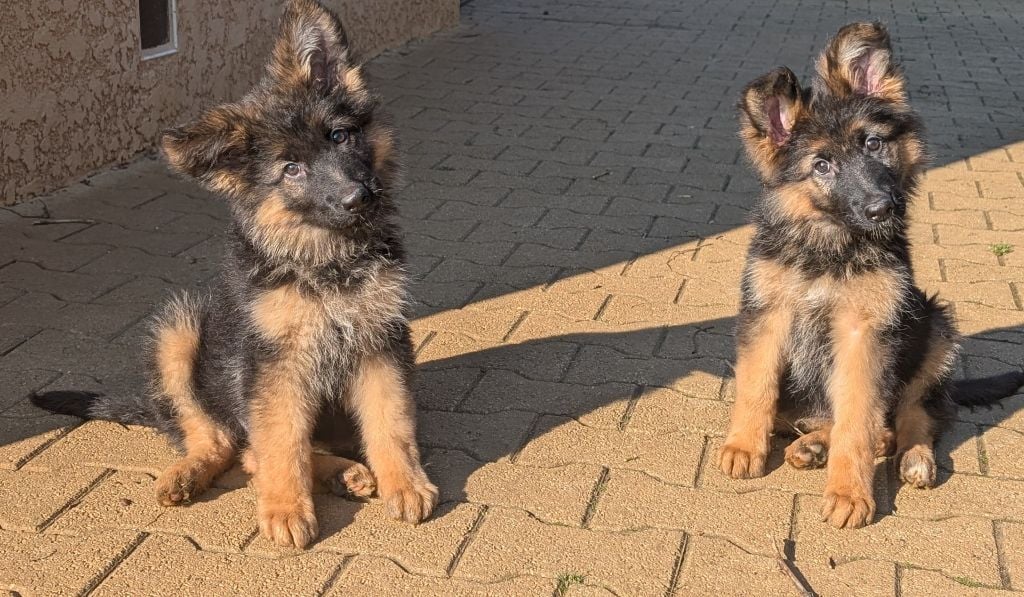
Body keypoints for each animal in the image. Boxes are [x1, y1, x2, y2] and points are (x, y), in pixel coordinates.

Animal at [29, 0, 438, 552]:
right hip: (178, 332)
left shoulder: (381, 341)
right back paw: (192, 472)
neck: (325, 258)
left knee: (255, 448)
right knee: (228, 442)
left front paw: (406, 484)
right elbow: (281, 441)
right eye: (291, 169)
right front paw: (285, 508)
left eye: (340, 136)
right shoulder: (273, 363)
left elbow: (390, 421)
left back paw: (344, 471)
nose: (360, 198)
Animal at [720, 22, 1024, 528]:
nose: (883, 209)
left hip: (933, 324)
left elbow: (859, 419)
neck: (830, 247)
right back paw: (810, 445)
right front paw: (743, 446)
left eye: (873, 144)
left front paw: (849, 493)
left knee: (911, 414)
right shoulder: (766, 314)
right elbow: (756, 386)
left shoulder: (865, 334)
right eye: (822, 165)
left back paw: (911, 456)